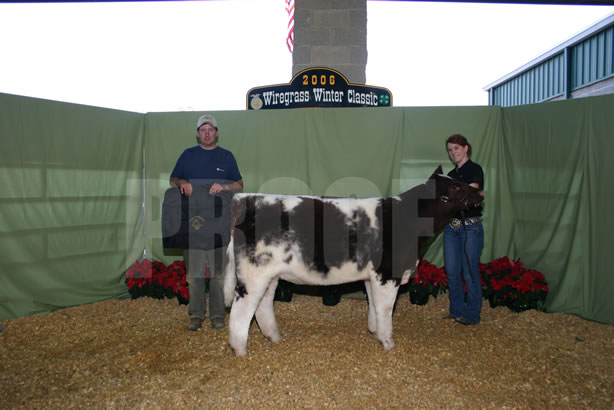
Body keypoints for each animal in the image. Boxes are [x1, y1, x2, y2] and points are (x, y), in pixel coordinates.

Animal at [223, 166, 484, 356]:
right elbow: (386, 309)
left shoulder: (372, 276)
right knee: (241, 310)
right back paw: (240, 350)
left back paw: (274, 337)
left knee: (263, 304)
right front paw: (388, 342)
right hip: (253, 274)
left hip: (270, 275)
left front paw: (375, 333)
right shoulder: (387, 274)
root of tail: (243, 200)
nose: (480, 192)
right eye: (456, 186)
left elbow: (375, 307)